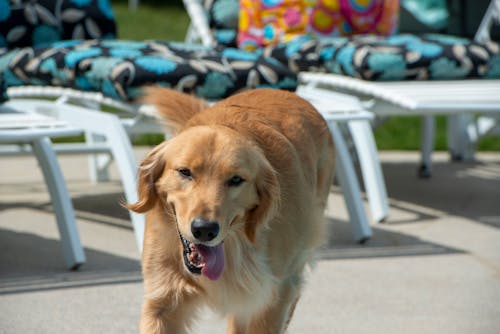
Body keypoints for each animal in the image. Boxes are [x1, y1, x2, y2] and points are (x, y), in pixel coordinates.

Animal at [129, 87, 334, 332]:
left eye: (236, 180)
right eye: (185, 172)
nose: (204, 230)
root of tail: (288, 93)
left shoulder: (274, 297)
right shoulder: (162, 301)